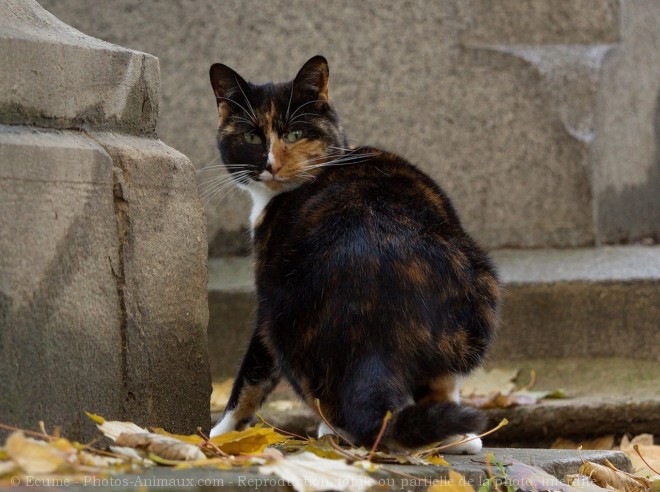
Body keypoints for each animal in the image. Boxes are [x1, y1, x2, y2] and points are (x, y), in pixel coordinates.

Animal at [206, 54, 500, 454]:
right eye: (252, 137)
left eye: (295, 134)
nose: (271, 164)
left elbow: (252, 376)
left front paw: (221, 433)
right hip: (477, 289)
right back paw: (452, 437)